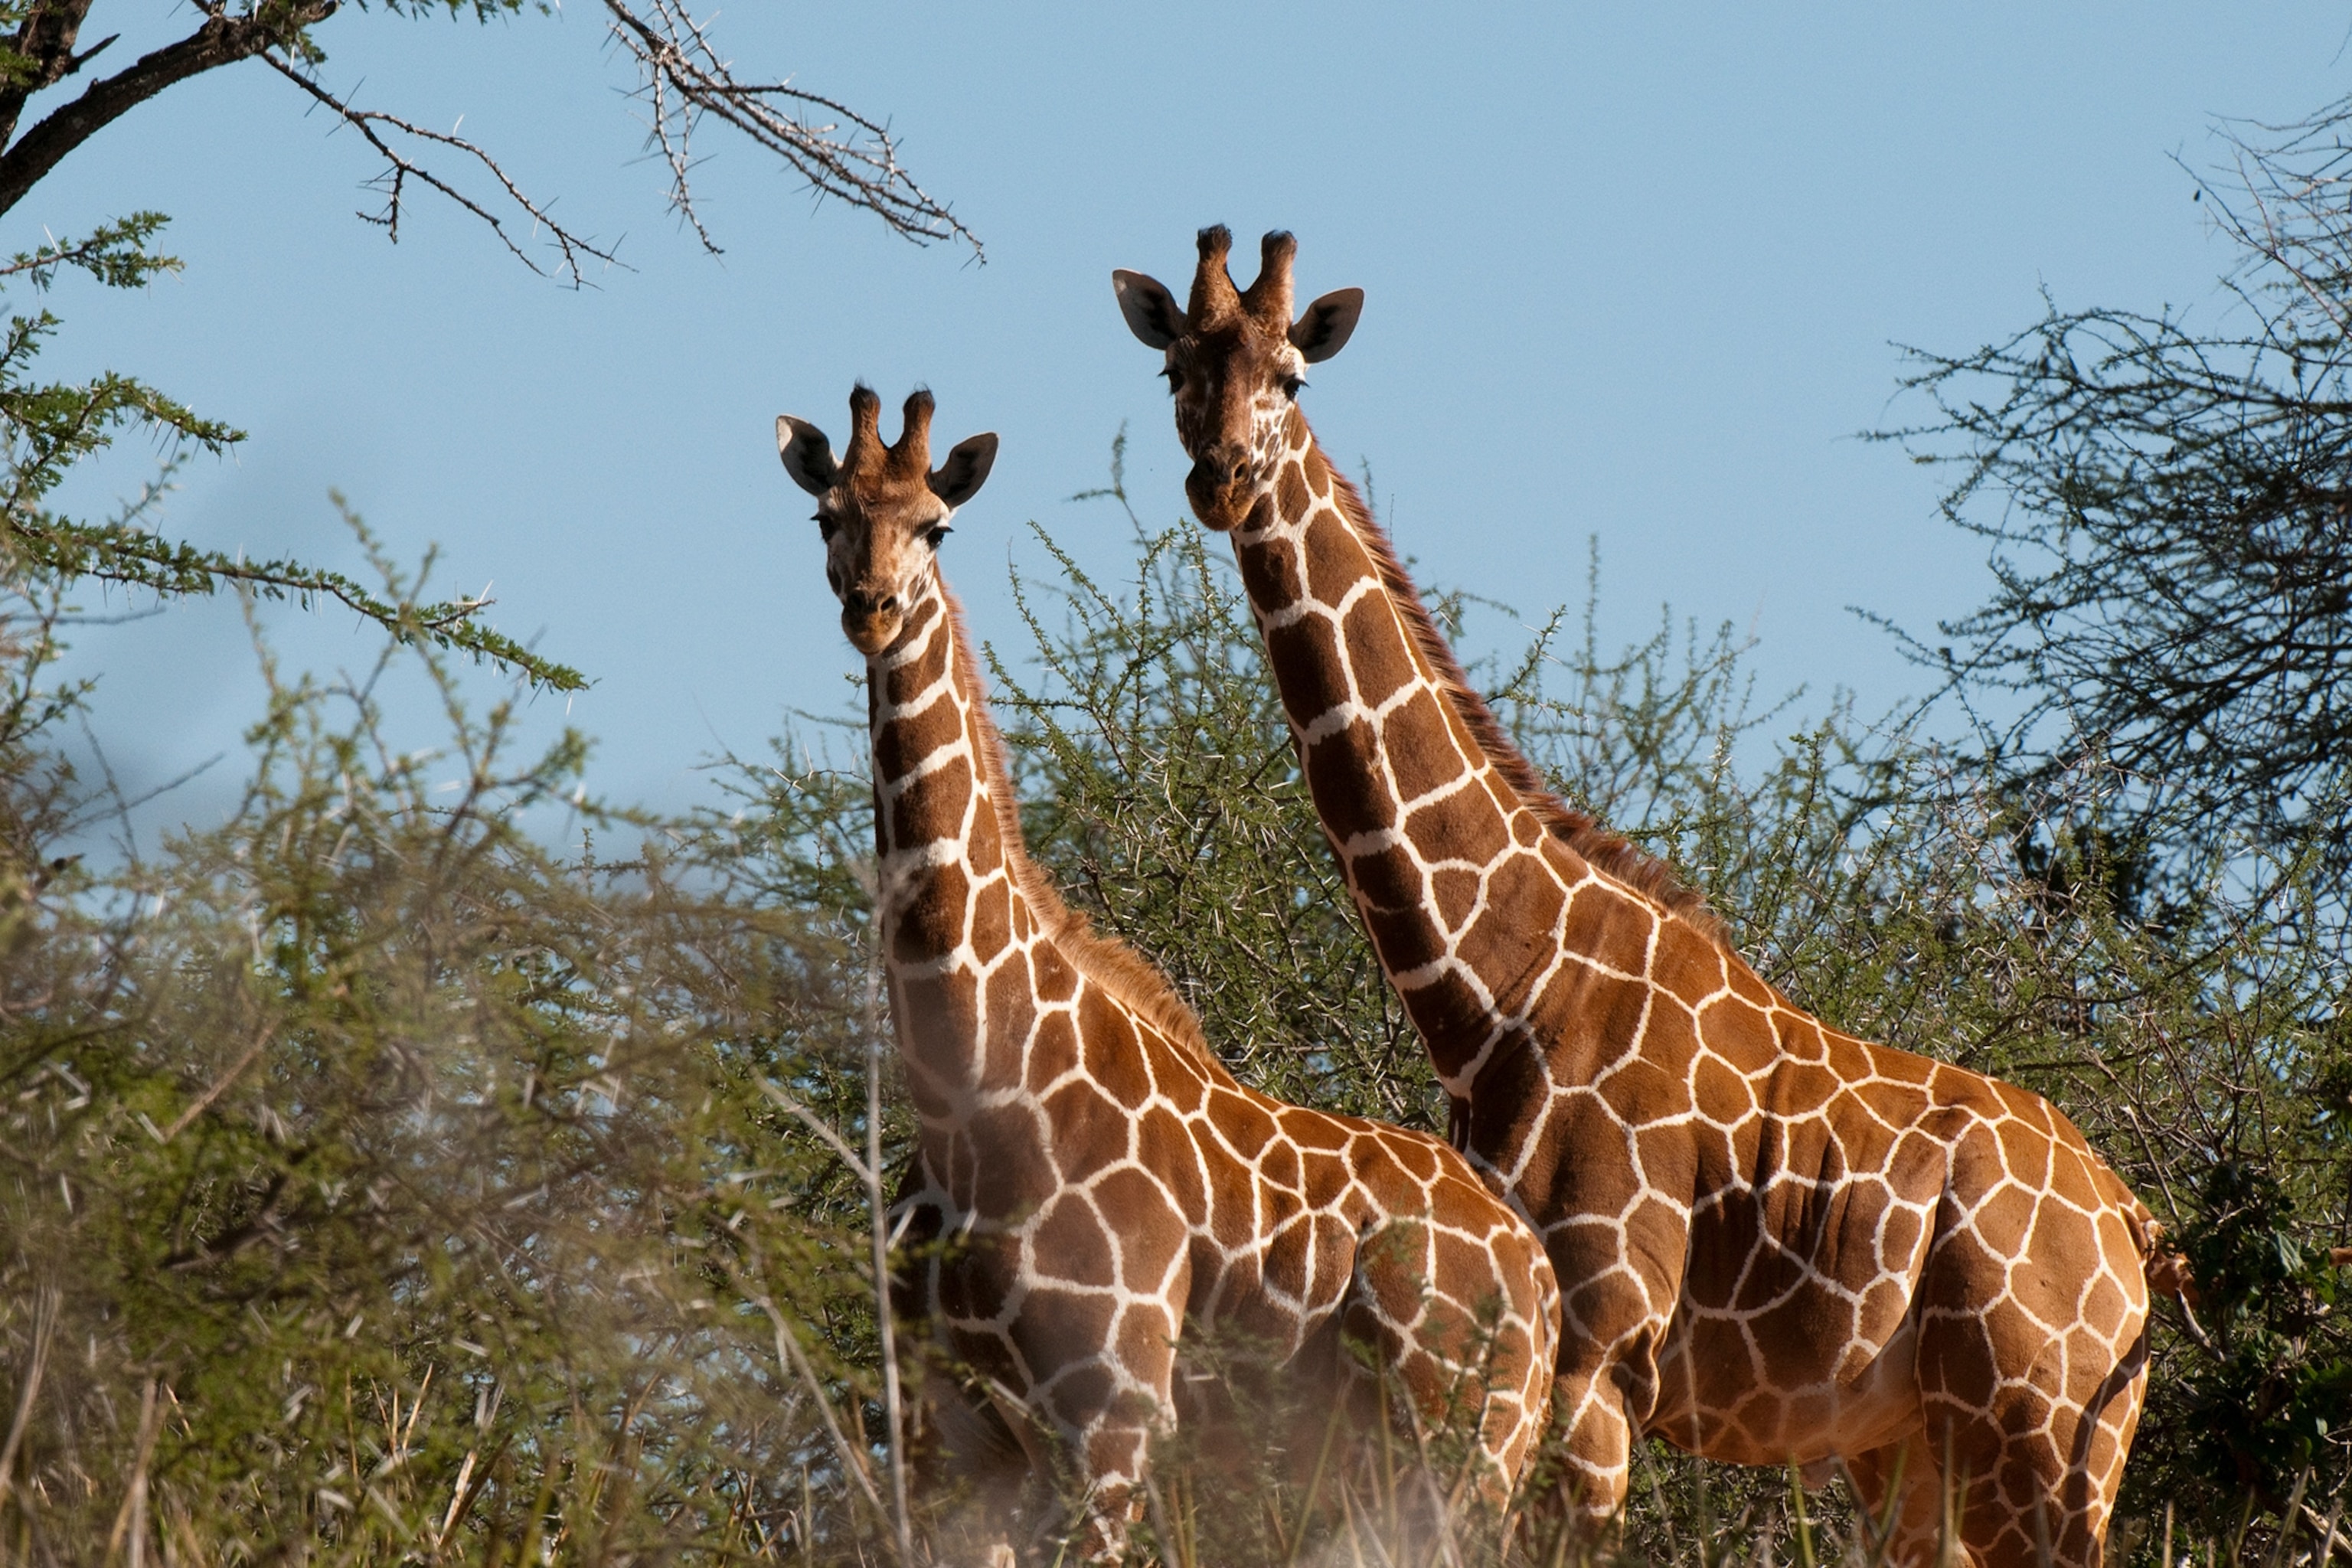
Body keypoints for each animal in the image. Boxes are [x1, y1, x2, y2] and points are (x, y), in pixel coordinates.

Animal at [780, 383, 1571, 1568]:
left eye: (937, 525)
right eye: (828, 515)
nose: (872, 608)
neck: (973, 1089)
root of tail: (1538, 1280)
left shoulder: (1111, 1415)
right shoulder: (948, 1443)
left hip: (1467, 1457)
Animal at [1109, 232, 2192, 1568]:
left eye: (1293, 376)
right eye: (1175, 371)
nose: (1221, 476)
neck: (1494, 980)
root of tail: (2135, 1228)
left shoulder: (1595, 1353)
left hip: (2046, 1438)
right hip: (1913, 1449)